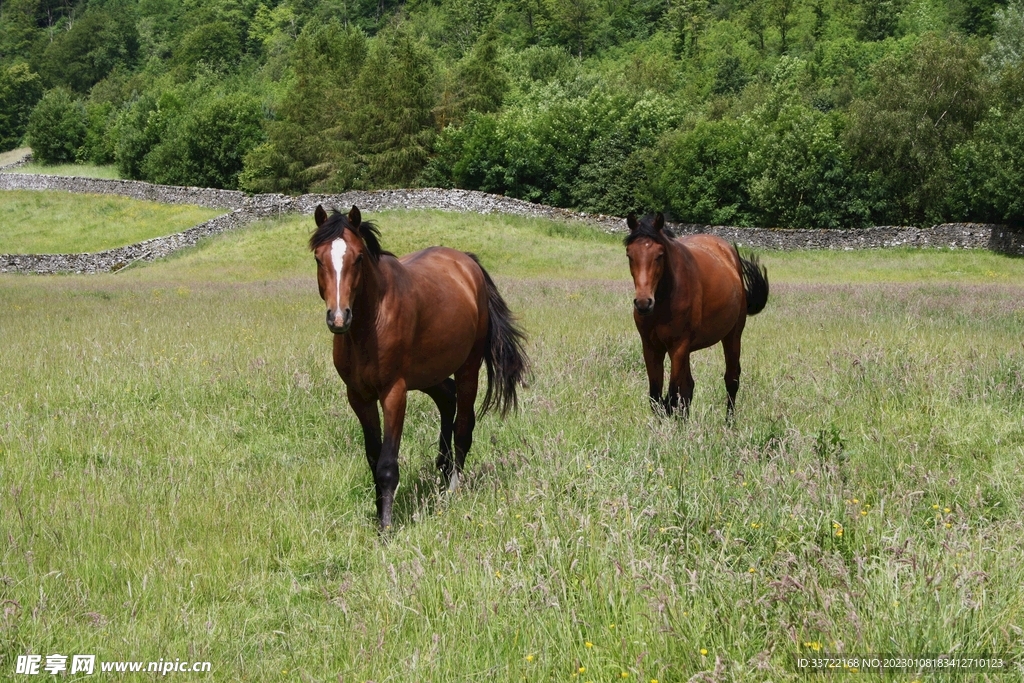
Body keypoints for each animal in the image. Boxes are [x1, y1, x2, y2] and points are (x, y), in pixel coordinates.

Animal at [309, 205, 529, 530]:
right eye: (318, 258)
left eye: (358, 257)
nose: (338, 317)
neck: (370, 325)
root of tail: (467, 264)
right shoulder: (358, 396)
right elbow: (373, 457)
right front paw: (379, 514)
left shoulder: (394, 393)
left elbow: (387, 464)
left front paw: (386, 528)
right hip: (430, 374)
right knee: (447, 399)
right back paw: (443, 467)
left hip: (467, 368)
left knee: (463, 426)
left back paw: (452, 489)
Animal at [625, 212, 768, 418]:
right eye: (630, 255)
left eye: (660, 255)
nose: (643, 303)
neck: (664, 300)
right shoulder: (651, 347)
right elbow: (656, 398)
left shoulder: (678, 346)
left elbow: (671, 398)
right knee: (688, 388)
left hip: (732, 336)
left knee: (731, 380)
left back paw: (729, 422)